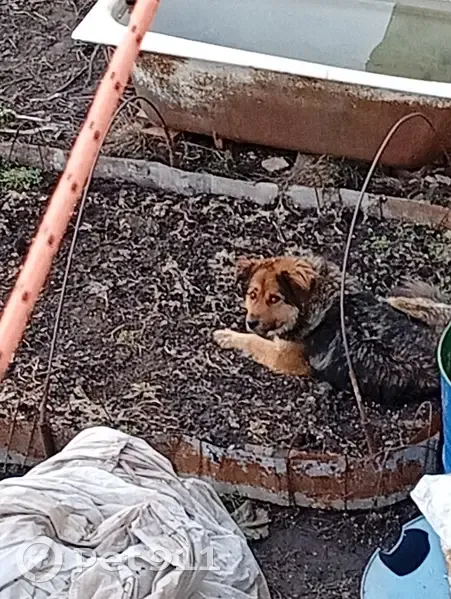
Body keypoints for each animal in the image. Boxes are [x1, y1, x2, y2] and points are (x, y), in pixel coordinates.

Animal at [213, 254, 451, 405]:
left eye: (274, 299)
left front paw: (227, 336)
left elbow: (254, 341)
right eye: (252, 295)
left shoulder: (283, 358)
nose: (250, 322)